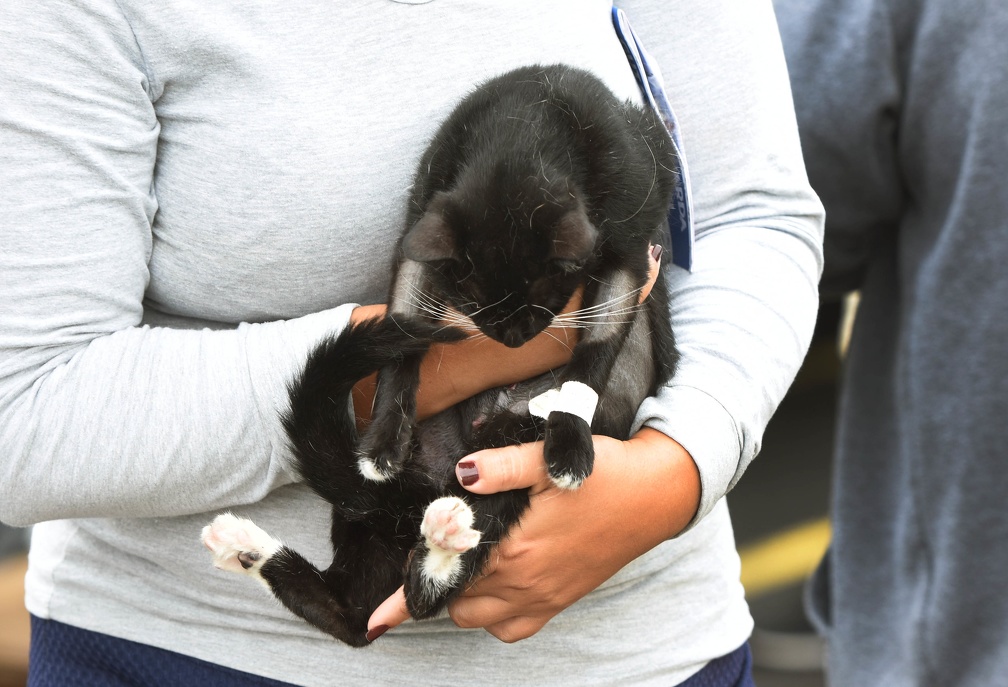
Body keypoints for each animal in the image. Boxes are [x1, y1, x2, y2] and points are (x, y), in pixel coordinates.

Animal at [201, 62, 681, 640]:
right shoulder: (423, 212)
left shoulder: (632, 236)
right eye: (473, 304)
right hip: (379, 523)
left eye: (545, 302)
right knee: (360, 611)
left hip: (503, 457)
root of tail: (418, 494)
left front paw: (569, 438)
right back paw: (251, 546)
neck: (524, 132)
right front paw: (384, 439)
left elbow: (599, 344)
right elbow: (406, 322)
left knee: (399, 597)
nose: (513, 339)